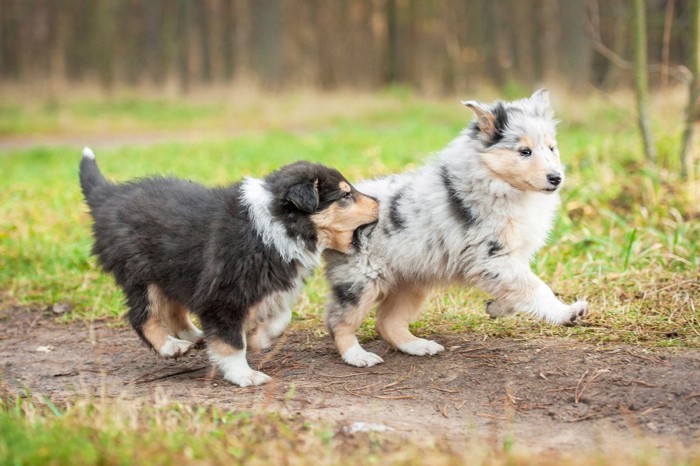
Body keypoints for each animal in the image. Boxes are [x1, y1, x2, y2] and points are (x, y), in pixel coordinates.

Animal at [79, 148, 380, 386]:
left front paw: (259, 339)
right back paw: (171, 347)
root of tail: (109, 196)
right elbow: (231, 343)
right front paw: (245, 375)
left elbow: (282, 317)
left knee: (174, 308)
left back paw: (196, 336)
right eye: (345, 195)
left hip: (174, 270)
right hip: (140, 272)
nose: (379, 201)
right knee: (142, 315)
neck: (277, 225)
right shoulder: (222, 295)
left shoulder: (267, 285)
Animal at [326, 89, 588, 368]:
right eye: (524, 151)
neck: (496, 181)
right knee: (338, 322)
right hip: (361, 281)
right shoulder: (492, 257)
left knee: (387, 323)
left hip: (411, 280)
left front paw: (497, 308)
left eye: (552, 148)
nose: (556, 178)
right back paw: (357, 356)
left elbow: (518, 289)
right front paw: (566, 312)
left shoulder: (507, 261)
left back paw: (418, 346)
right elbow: (535, 287)